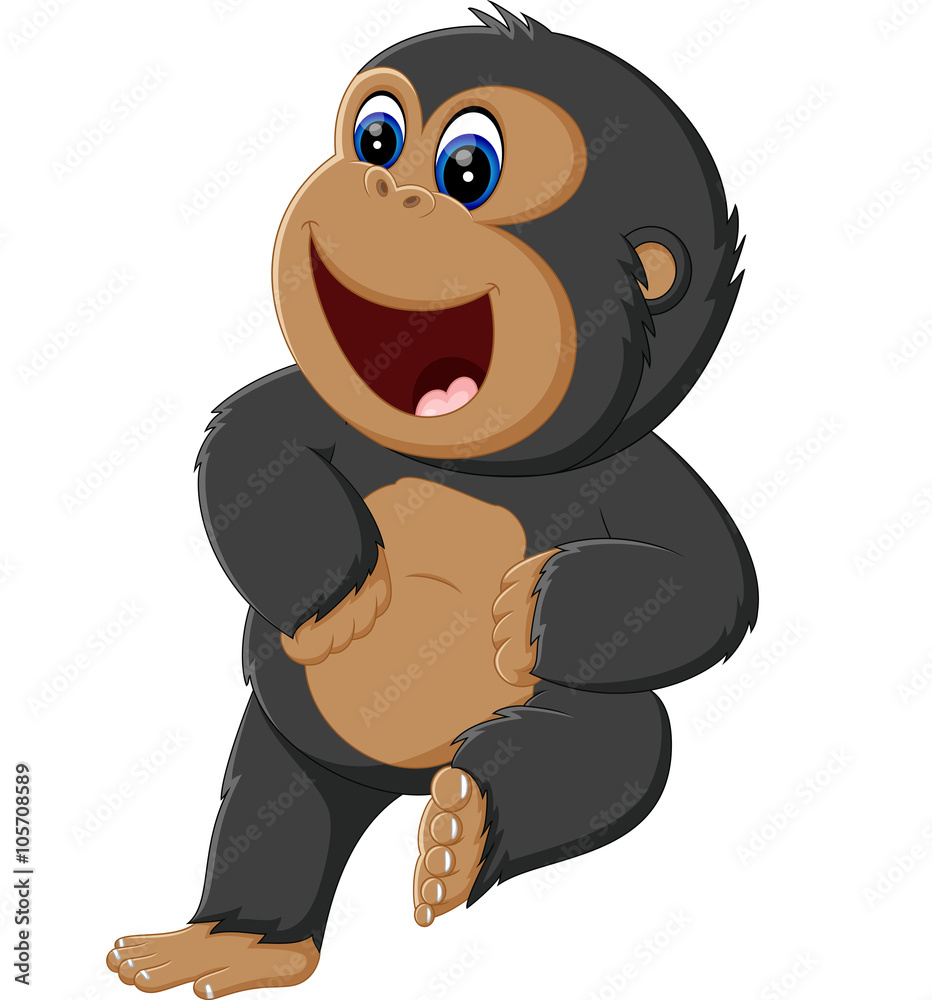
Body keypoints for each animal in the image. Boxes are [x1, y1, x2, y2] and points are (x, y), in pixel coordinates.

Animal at [106, 6, 757, 996]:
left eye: (468, 169)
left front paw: (531, 606)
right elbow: (249, 449)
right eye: (377, 136)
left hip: (594, 733)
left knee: (588, 755)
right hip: (291, 738)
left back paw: (464, 828)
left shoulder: (644, 473)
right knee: (276, 805)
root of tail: (408, 777)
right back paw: (242, 941)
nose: (385, 184)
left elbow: (709, 586)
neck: (470, 466)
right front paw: (340, 601)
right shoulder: (303, 410)